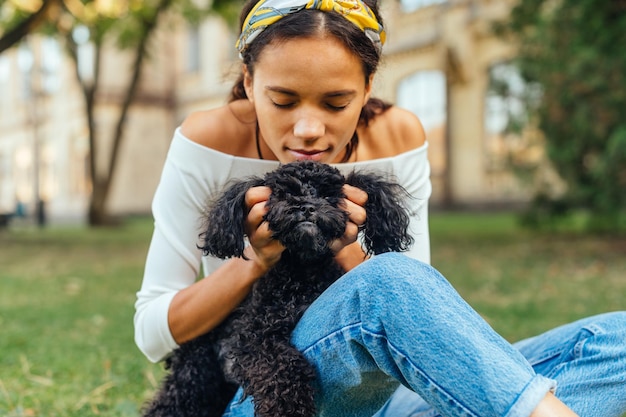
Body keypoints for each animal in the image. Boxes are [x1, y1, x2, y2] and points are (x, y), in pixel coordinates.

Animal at [143, 159, 412, 416]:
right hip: (193, 377)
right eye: (286, 193)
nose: (306, 207)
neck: (303, 274)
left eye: (327, 196)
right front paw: (289, 408)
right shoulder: (255, 337)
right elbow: (284, 368)